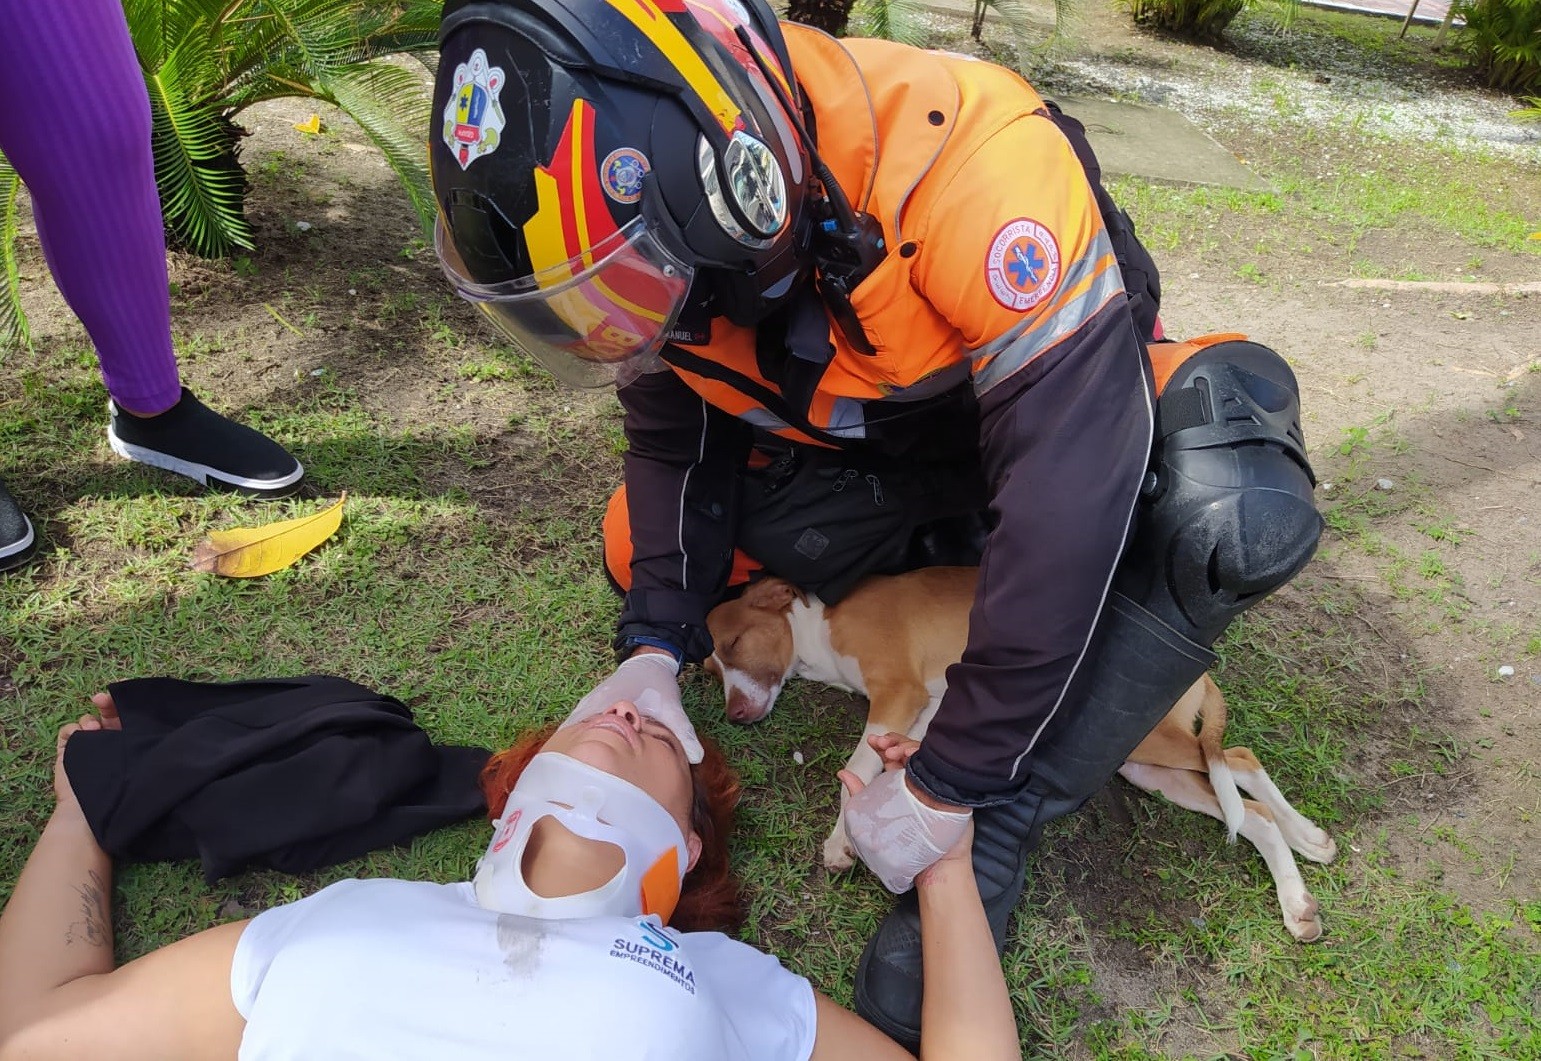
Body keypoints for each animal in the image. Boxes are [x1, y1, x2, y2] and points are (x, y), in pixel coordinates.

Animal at [705, 566, 1337, 942]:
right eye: (711, 670)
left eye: (733, 643)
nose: (735, 717)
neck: (822, 631)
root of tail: (1200, 671)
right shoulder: (930, 713)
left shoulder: (898, 695)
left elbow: (856, 769)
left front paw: (844, 841)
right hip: (1147, 767)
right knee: (1247, 803)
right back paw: (1301, 874)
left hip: (1151, 739)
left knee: (1242, 758)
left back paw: (1302, 844)